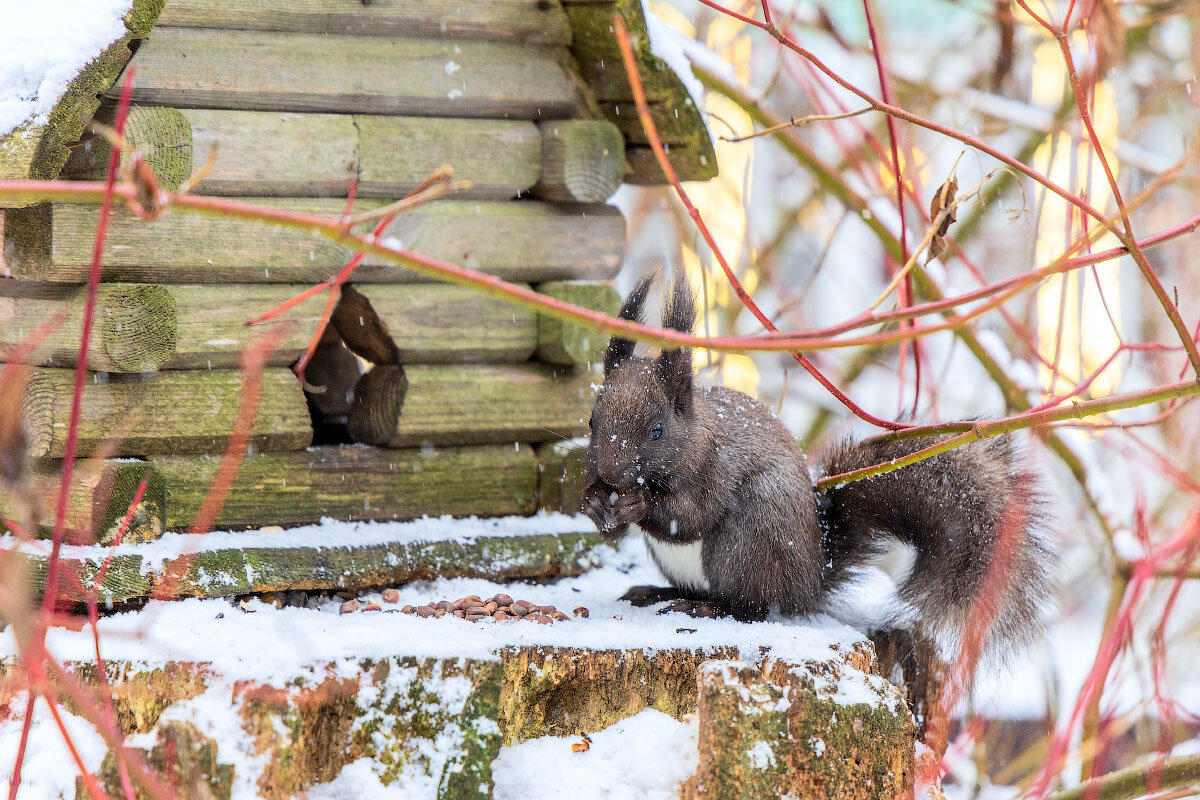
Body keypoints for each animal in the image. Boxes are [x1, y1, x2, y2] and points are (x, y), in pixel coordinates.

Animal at [585, 273, 1056, 657]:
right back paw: (652, 592)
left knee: (750, 607)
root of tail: (812, 577)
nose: (609, 474)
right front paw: (594, 503)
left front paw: (639, 504)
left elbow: (689, 516)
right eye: (592, 421)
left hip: (749, 540)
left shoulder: (713, 468)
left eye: (657, 430)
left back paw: (703, 606)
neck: (693, 438)